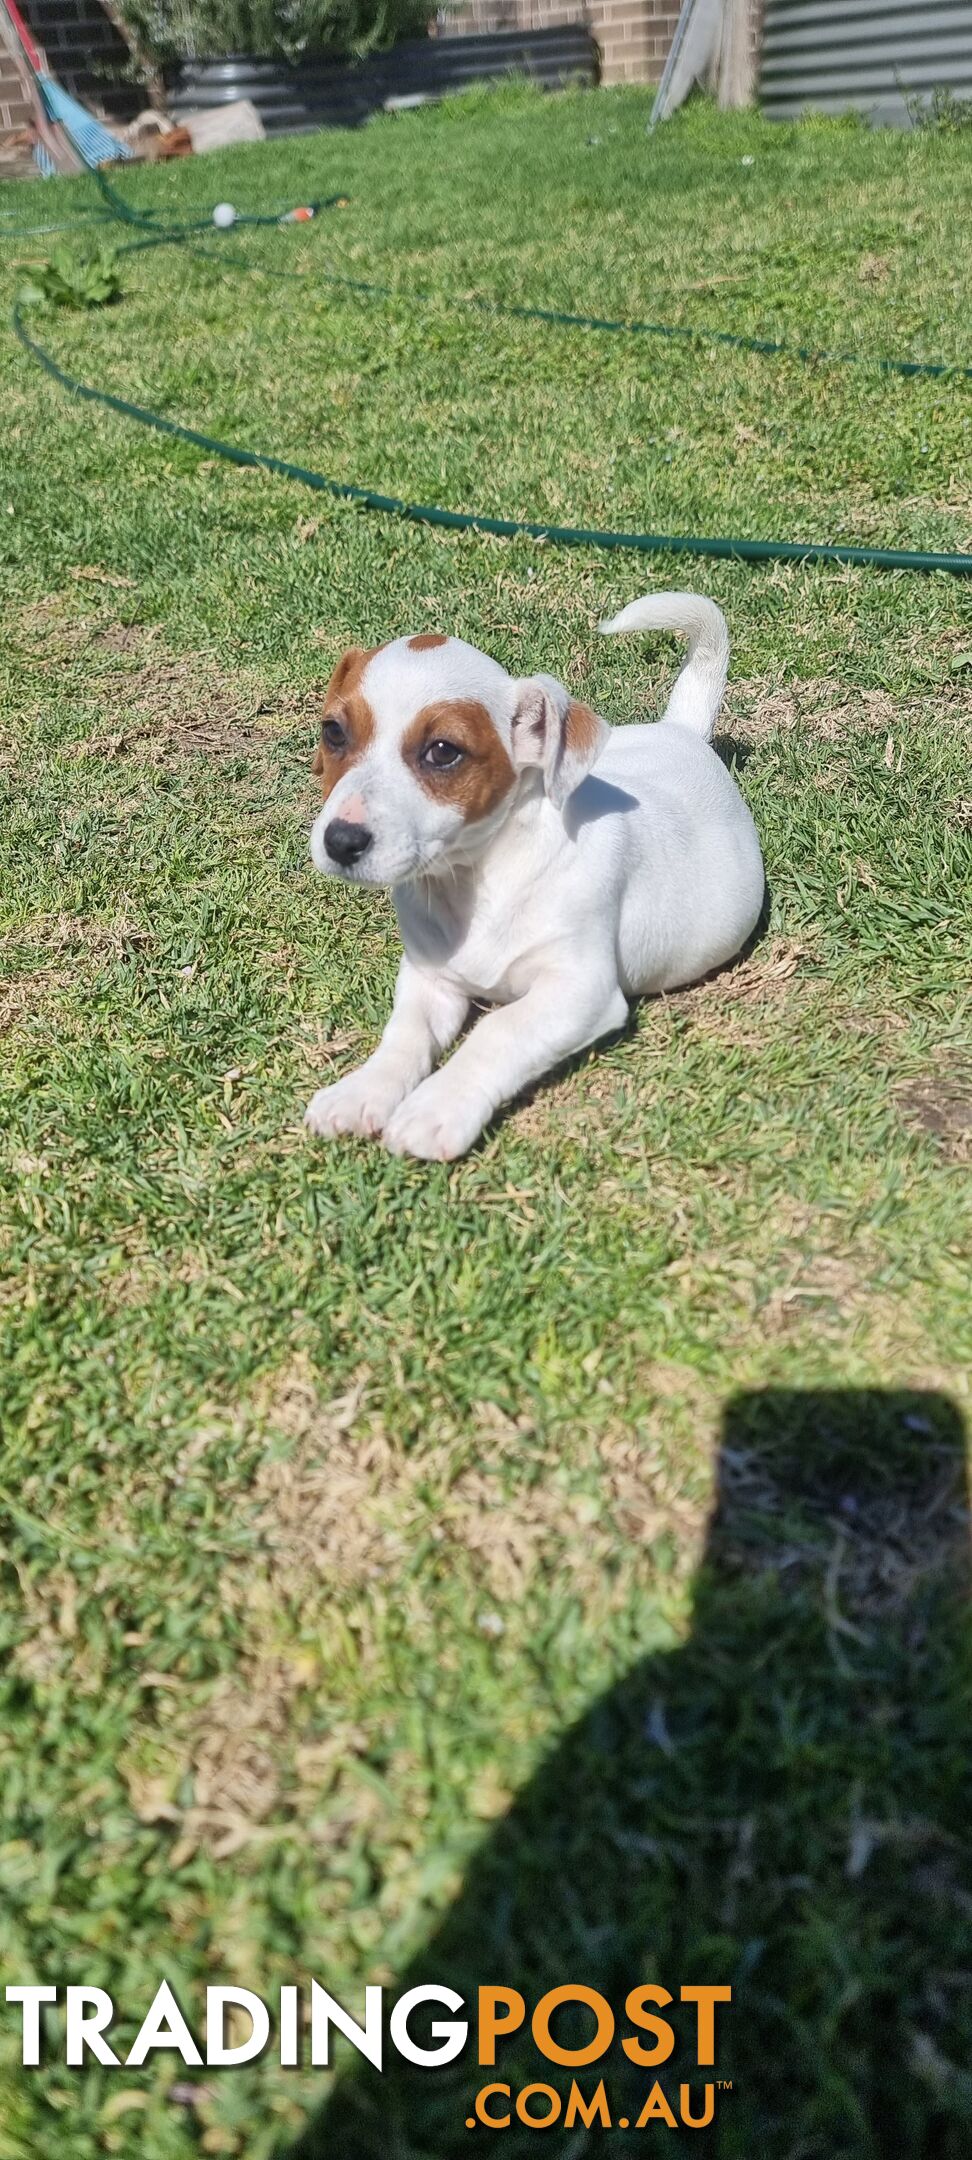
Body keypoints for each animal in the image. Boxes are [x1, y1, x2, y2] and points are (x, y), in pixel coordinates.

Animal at [306, 591, 764, 1166]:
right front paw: (363, 1091)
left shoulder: (579, 990)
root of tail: (681, 731)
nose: (341, 841)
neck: (478, 878)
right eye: (333, 732)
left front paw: (436, 1108)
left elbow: (498, 1032)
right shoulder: (429, 980)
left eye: (442, 751)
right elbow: (404, 1036)